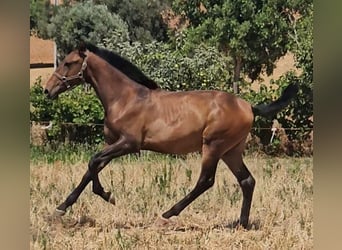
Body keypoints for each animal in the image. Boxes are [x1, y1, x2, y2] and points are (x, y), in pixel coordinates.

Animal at [44, 43, 298, 229]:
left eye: (69, 63)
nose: (47, 90)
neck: (125, 98)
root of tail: (249, 107)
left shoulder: (129, 144)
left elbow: (93, 161)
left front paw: (107, 195)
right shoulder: (114, 143)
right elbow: (91, 169)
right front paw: (61, 208)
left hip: (213, 146)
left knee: (206, 181)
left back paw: (167, 214)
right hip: (231, 151)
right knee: (247, 181)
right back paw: (241, 224)